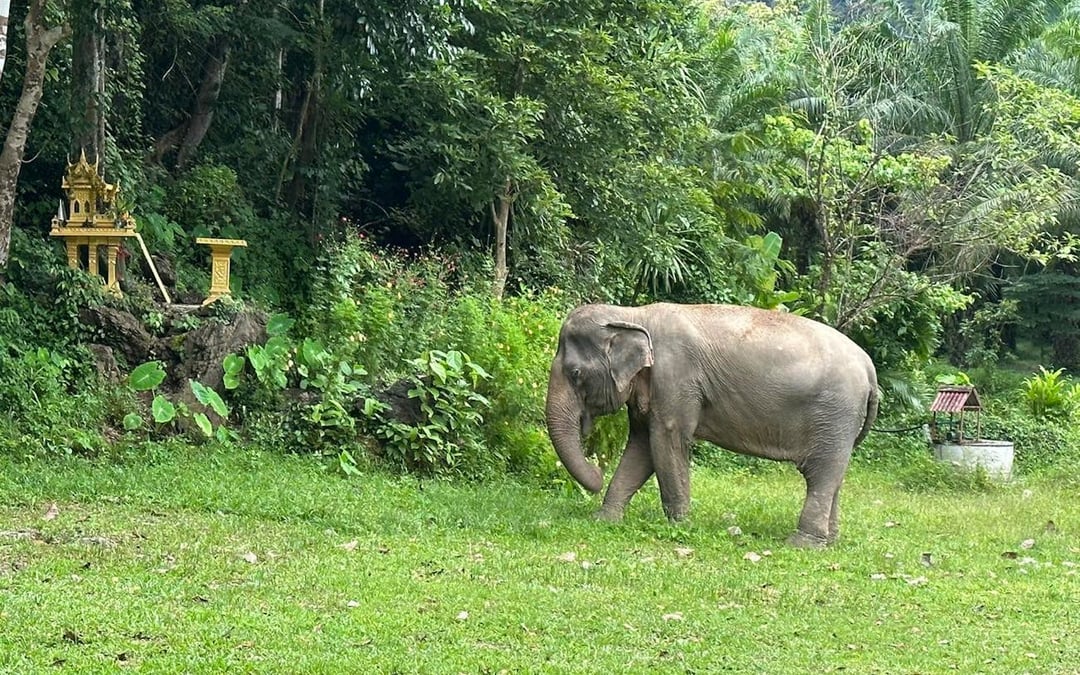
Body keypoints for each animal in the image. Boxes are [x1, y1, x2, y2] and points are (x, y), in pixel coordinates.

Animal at [545, 302, 878, 548]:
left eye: (575, 374)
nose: (597, 471)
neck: (632, 315)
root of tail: (869, 369)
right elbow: (641, 448)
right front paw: (604, 519)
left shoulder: (676, 380)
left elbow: (666, 442)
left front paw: (680, 526)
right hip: (840, 422)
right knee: (834, 476)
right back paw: (829, 542)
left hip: (836, 413)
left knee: (820, 475)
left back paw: (801, 544)